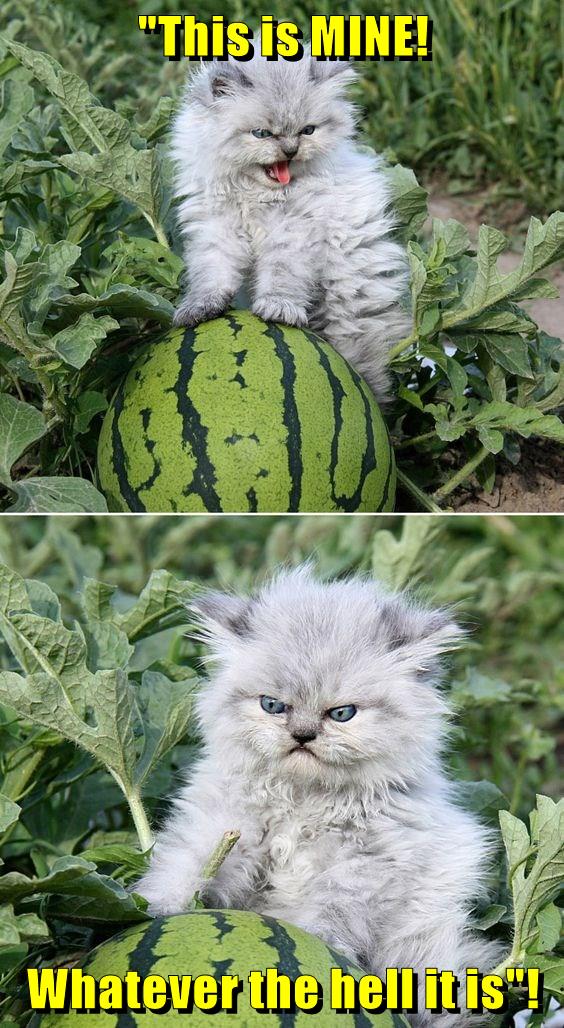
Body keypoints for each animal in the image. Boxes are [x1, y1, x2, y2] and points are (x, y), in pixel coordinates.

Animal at [138, 571, 499, 1028]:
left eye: (342, 714)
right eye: (273, 706)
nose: (303, 735)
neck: (303, 803)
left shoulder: (357, 875)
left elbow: (320, 923)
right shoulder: (223, 831)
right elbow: (183, 870)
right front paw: (155, 908)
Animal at [169, 51, 410, 400]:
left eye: (307, 130)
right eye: (261, 134)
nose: (290, 150)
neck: (255, 197)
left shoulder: (292, 234)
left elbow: (282, 276)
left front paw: (278, 308)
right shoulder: (217, 229)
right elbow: (211, 275)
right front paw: (200, 309)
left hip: (349, 304)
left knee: (368, 365)